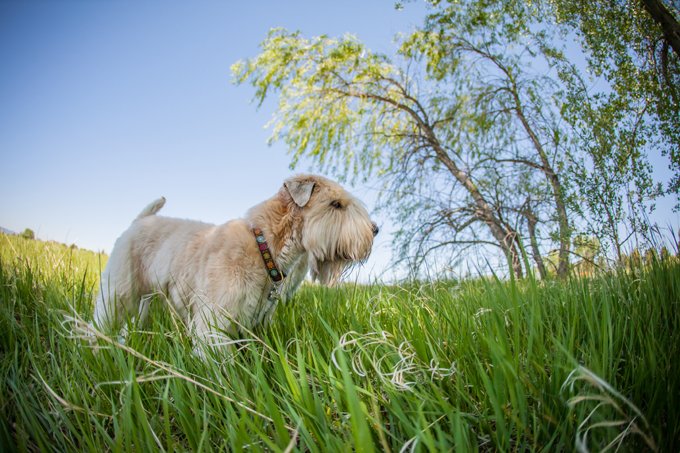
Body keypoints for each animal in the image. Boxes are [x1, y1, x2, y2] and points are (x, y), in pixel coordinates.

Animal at [92, 173, 378, 354]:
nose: (376, 229)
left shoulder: (256, 321)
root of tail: (139, 222)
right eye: (336, 204)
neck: (264, 246)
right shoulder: (213, 322)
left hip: (146, 300)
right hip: (118, 292)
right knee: (102, 321)